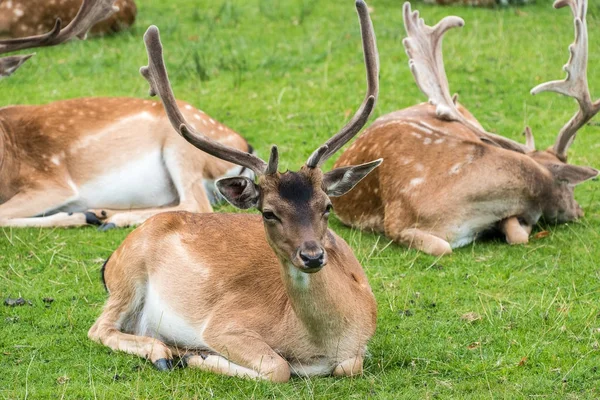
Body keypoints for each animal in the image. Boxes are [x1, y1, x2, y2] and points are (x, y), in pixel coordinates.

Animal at [89, 0, 380, 382]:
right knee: (100, 328)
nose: (313, 256)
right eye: (268, 212)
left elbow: (350, 365)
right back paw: (164, 352)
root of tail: (110, 260)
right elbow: (278, 367)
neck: (322, 346)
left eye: (327, 206)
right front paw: (198, 356)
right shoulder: (223, 323)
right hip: (129, 277)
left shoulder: (360, 344)